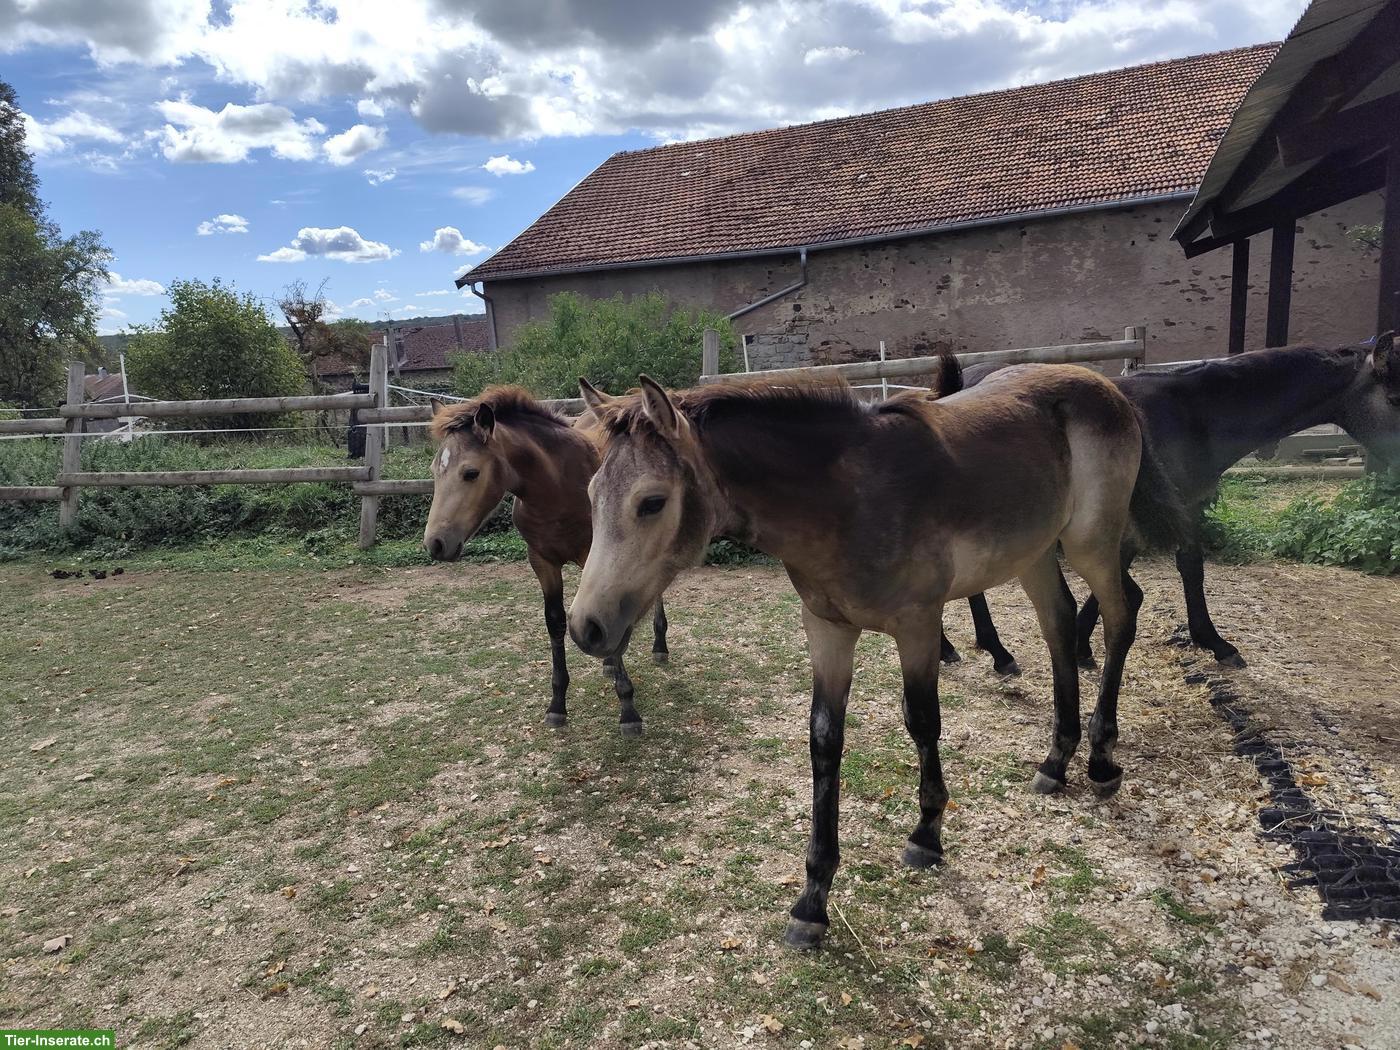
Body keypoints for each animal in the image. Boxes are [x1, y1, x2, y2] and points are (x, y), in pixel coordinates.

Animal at [421, 387, 670, 736]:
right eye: (434, 471)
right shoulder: (542, 562)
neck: (557, 488)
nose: (435, 544)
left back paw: (659, 646)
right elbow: (556, 622)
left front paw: (628, 710)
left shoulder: (598, 555)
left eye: (471, 472)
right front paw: (557, 705)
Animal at [568, 366, 1185, 949]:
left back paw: (1101, 759)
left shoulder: (918, 625)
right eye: (592, 493)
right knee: (1058, 625)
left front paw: (927, 834)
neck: (846, 500)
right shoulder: (827, 630)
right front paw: (813, 900)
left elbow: (922, 721)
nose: (585, 628)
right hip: (1034, 552)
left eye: (651, 502)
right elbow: (824, 740)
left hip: (1090, 542)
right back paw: (1056, 761)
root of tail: (1105, 385)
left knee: (1121, 616)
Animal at [943, 333, 1400, 671]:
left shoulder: (1176, 509)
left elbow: (1182, 569)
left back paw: (987, 649)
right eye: (1396, 397)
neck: (1193, 413)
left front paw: (1087, 646)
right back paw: (984, 650)